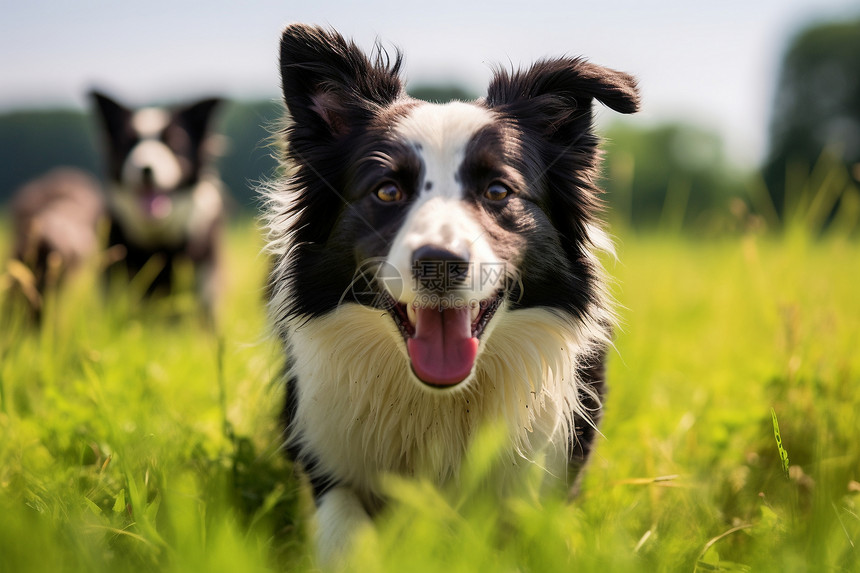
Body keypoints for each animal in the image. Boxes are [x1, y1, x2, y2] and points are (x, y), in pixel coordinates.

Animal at [266, 24, 640, 560]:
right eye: (387, 190)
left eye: (498, 191)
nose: (439, 264)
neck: (440, 402)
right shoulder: (322, 445)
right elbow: (344, 531)